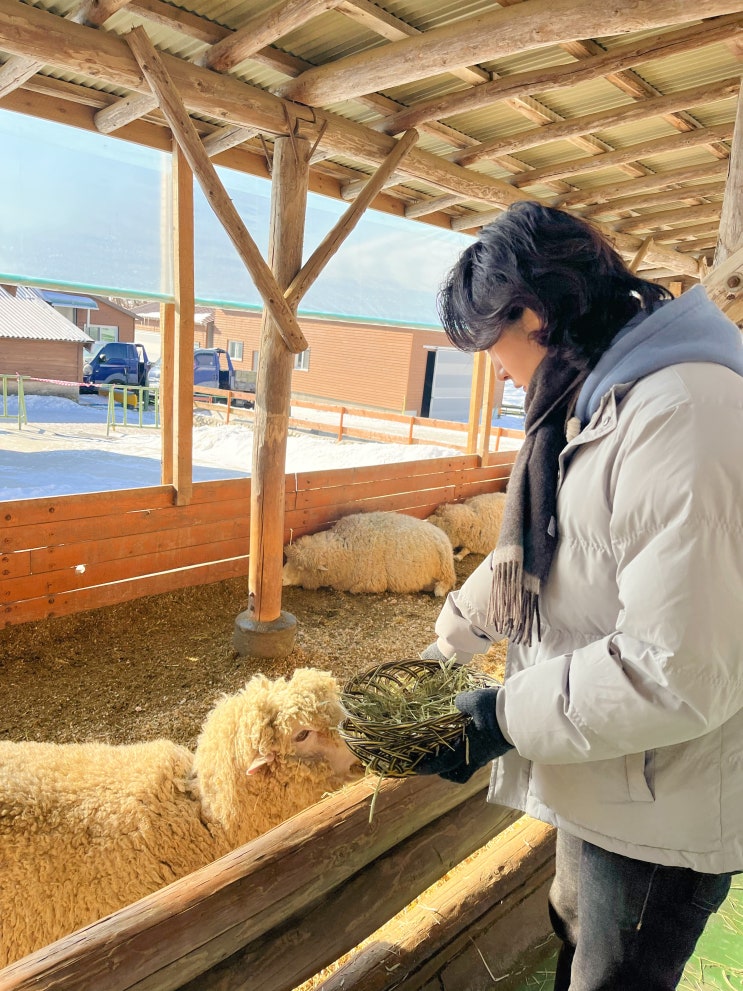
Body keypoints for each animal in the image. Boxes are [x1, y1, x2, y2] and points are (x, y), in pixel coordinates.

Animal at [282, 512, 456, 596]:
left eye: (300, 567)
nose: (281, 578)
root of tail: (443, 539)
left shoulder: (373, 582)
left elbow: (355, 589)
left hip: (443, 572)